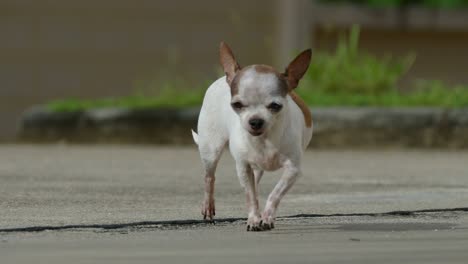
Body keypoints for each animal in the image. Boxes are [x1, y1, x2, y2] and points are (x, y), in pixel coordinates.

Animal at [192, 41, 312, 231]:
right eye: (237, 105)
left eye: (275, 106)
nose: (255, 121)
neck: (264, 141)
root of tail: (224, 77)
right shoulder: (243, 167)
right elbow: (251, 196)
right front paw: (254, 219)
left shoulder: (292, 170)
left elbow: (274, 194)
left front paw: (267, 217)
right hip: (210, 150)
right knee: (209, 177)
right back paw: (208, 206)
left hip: (256, 168)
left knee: (255, 183)